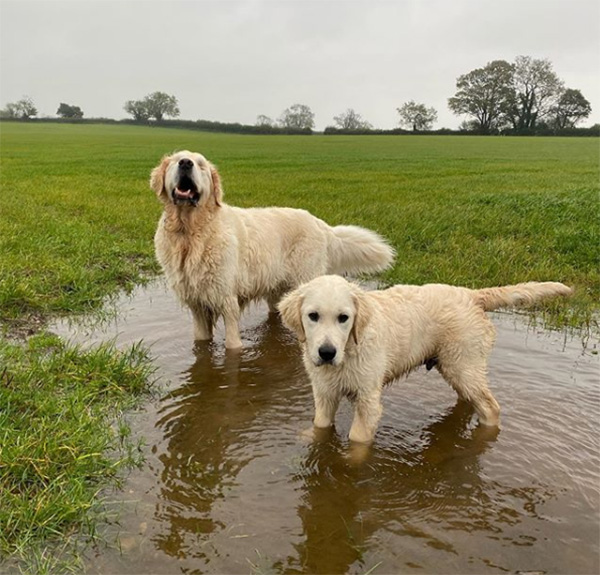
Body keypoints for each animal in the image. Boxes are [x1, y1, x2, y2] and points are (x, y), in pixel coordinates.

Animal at [278, 274, 576, 446]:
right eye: (313, 316)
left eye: (344, 318)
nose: (327, 352)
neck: (349, 350)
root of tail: (471, 295)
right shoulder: (324, 392)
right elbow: (321, 425)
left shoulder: (368, 398)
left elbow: (358, 439)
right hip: (456, 366)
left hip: (463, 363)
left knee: (491, 407)